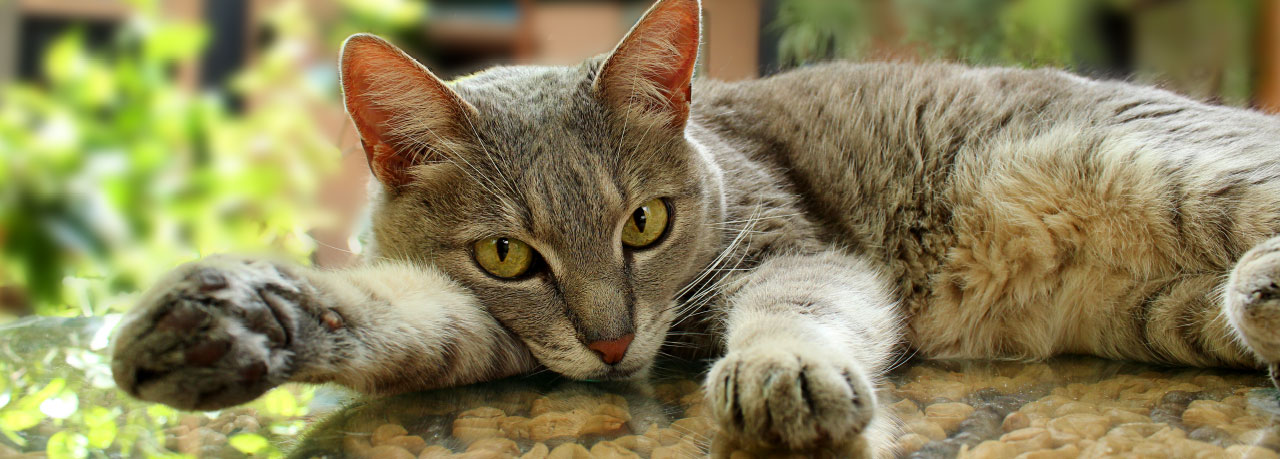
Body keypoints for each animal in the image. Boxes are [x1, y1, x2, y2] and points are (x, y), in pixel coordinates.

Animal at [107, 0, 1280, 455]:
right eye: (505, 254)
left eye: (645, 222)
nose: (612, 341)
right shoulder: (499, 330)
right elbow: (402, 317)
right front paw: (232, 319)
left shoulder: (792, 248)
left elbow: (797, 305)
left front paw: (778, 372)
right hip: (1158, 305)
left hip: (1157, 162)